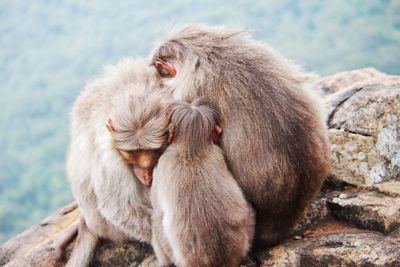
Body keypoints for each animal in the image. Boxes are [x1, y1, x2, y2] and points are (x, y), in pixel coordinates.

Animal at [59, 57, 170, 266]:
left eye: (151, 150)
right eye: (132, 152)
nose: (144, 169)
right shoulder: (109, 155)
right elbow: (118, 207)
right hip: (110, 228)